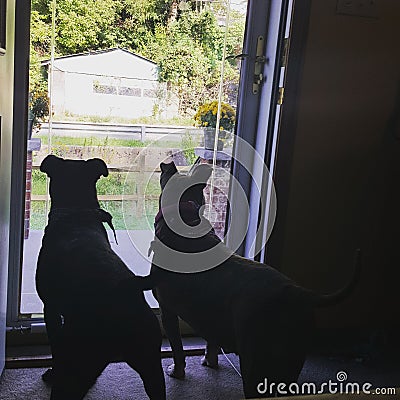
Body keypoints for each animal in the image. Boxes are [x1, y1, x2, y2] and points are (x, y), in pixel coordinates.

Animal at [35, 155, 165, 400]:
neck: (77, 214)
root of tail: (126, 287)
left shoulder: (51, 309)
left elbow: (55, 346)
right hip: (150, 360)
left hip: (79, 362)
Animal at [148, 161, 360, 398]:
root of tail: (295, 293)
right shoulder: (210, 315)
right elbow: (211, 340)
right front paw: (210, 361)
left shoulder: (167, 310)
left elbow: (177, 348)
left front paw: (177, 371)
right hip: (291, 361)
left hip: (255, 363)